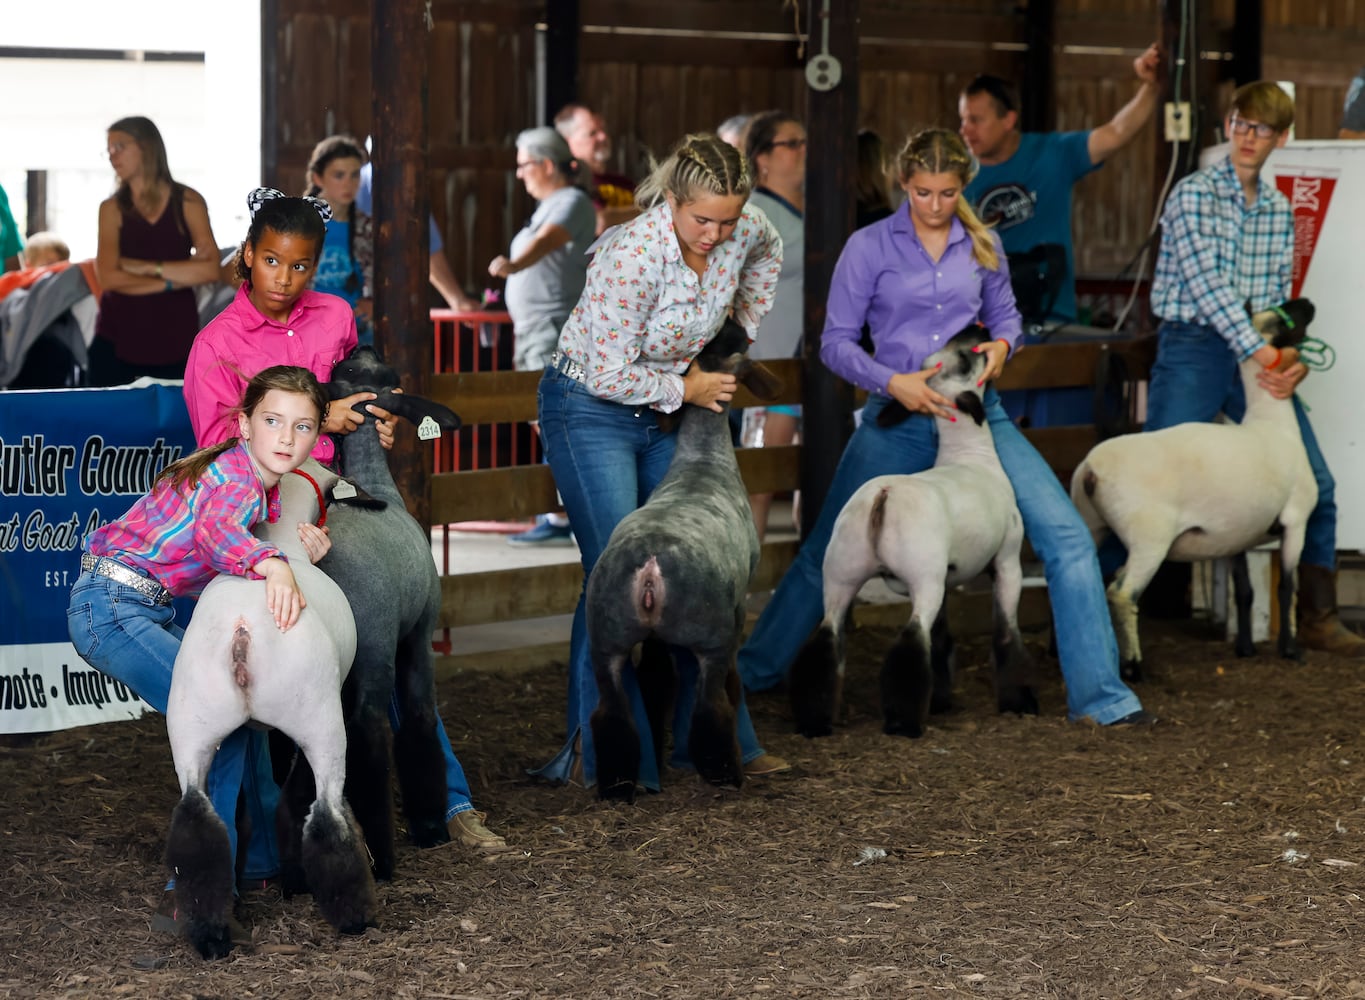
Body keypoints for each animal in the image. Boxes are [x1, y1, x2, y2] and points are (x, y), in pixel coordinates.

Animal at [166, 461, 379, 960]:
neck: (285, 545)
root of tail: (242, 633)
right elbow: (298, 794)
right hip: (320, 720)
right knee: (326, 814)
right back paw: (355, 917)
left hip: (192, 725)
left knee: (198, 820)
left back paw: (211, 935)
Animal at [320, 346, 464, 878]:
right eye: (383, 374)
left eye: (346, 366)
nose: (363, 346)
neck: (372, 485)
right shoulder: (418, 635)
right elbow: (420, 716)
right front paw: (429, 824)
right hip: (374, 650)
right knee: (369, 733)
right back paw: (382, 857)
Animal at [791, 323, 1031, 736]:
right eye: (965, 359)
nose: (978, 328)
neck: (970, 457)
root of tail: (882, 496)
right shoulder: (1007, 561)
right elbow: (1005, 634)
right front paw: (1018, 703)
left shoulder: (949, 575)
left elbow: (942, 639)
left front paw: (942, 701)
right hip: (923, 578)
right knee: (912, 640)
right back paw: (904, 722)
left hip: (840, 573)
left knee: (826, 638)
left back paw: (815, 721)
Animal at [1070, 291, 1315, 673]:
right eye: (1279, 318)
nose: (1307, 302)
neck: (1273, 425)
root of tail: (1091, 470)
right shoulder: (1296, 520)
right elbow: (1287, 588)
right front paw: (1291, 650)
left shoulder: (1239, 533)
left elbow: (1244, 592)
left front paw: (1245, 647)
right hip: (1149, 538)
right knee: (1122, 593)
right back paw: (1133, 664)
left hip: (1091, 524)